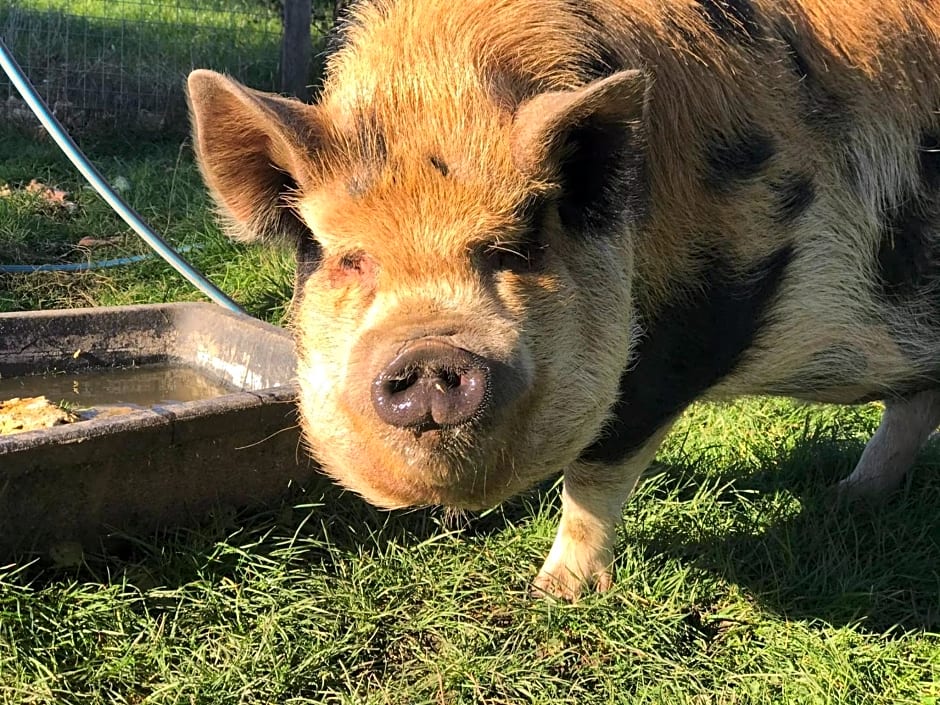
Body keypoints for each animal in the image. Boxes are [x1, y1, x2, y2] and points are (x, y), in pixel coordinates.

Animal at [187, 0, 940, 600]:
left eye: (516, 248)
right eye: (351, 258)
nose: (431, 352)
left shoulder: (684, 337)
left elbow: (598, 471)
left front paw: (553, 594)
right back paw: (847, 497)